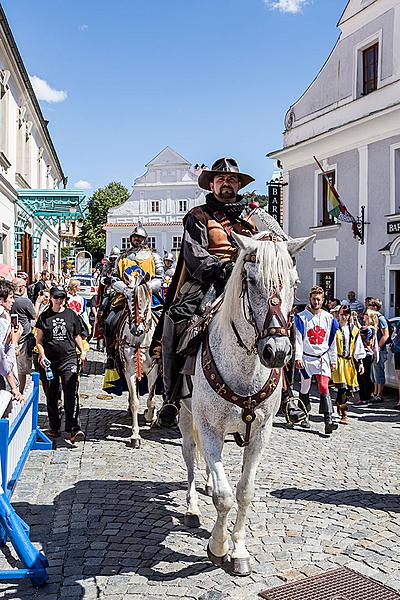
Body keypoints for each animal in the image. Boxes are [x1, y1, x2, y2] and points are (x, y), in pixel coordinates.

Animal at [112, 274, 159, 448]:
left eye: (147, 299)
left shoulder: (154, 370)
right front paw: (135, 435)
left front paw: (150, 416)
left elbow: (151, 399)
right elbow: (134, 402)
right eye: (127, 298)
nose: (136, 330)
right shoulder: (129, 371)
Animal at [178, 232, 312, 576]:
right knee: (190, 456)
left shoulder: (260, 433)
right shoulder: (209, 428)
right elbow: (225, 497)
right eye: (251, 280)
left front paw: (238, 550)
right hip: (186, 415)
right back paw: (192, 506)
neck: (245, 368)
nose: (277, 352)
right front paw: (218, 547)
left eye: (294, 282)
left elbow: (244, 491)